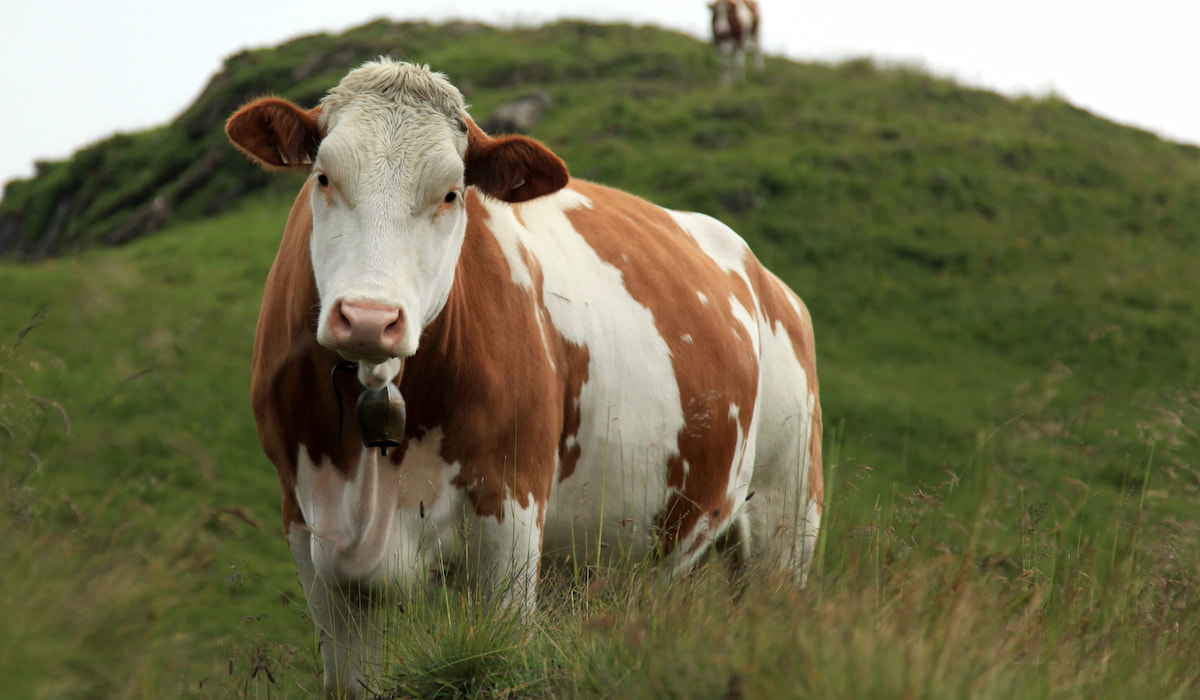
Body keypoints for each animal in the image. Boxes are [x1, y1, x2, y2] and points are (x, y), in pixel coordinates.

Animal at [226, 58, 821, 699]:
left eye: (451, 193)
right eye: (323, 177)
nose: (368, 317)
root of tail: (766, 279)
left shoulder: (510, 514)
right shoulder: (309, 531)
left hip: (786, 518)